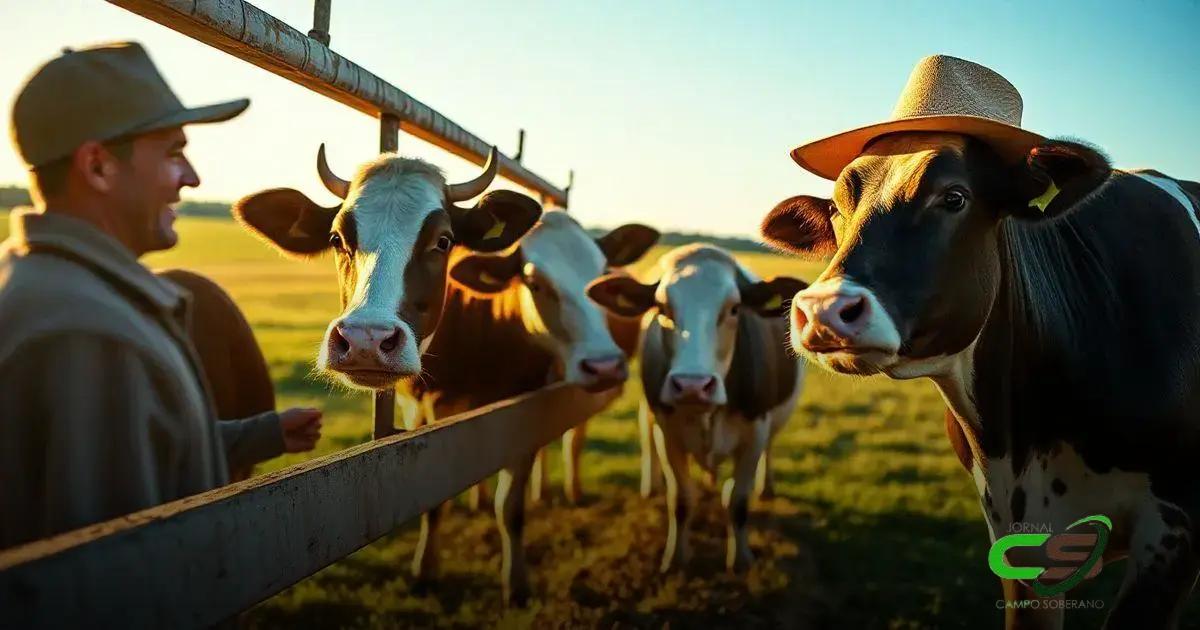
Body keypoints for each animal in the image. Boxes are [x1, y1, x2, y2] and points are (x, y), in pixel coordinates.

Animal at [405, 208, 662, 602]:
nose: (605, 365)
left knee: (573, 441)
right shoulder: (432, 408)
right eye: (535, 283)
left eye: (602, 278)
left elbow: (512, 508)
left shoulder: (522, 414)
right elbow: (433, 502)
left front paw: (516, 583)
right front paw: (425, 572)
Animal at [583, 243, 801, 571]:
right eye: (662, 309)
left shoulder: (755, 432)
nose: (692, 385)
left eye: (734, 309)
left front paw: (740, 560)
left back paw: (766, 488)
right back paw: (651, 487)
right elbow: (681, 500)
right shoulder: (668, 433)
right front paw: (675, 558)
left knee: (770, 448)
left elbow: (738, 501)